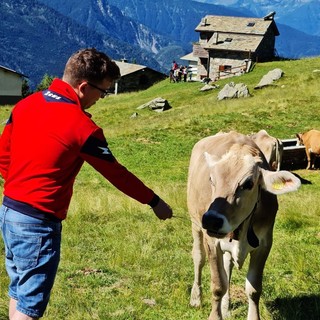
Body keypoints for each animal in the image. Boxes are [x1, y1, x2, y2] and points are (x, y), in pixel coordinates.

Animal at [188, 131, 300, 320]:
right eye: (211, 179)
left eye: (248, 184)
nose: (211, 219)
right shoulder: (212, 243)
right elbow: (218, 286)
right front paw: (215, 314)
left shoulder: (264, 244)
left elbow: (253, 289)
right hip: (195, 223)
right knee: (198, 257)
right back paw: (196, 297)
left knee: (228, 265)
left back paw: (225, 307)